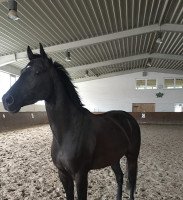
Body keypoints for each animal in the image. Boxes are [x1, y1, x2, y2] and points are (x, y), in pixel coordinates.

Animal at [2, 44, 141, 200]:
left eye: (37, 72)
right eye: (21, 72)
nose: (7, 100)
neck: (68, 132)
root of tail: (128, 118)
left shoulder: (80, 176)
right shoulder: (63, 174)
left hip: (132, 157)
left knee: (132, 182)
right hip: (114, 158)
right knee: (120, 177)